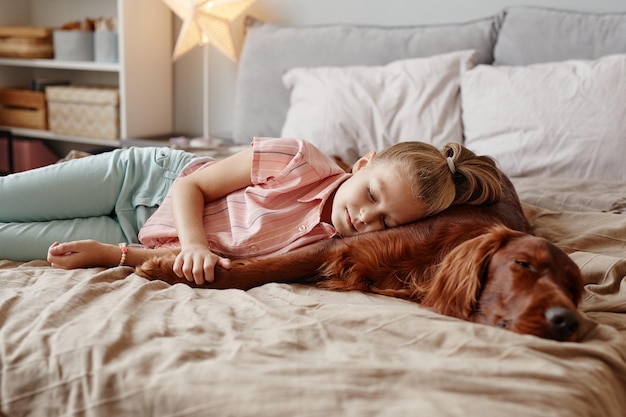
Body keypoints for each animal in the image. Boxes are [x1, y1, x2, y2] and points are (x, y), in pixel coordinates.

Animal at [135, 176, 580, 342]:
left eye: (575, 291)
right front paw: (172, 266)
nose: (568, 321)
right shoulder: (339, 246)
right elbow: (265, 267)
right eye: (523, 265)